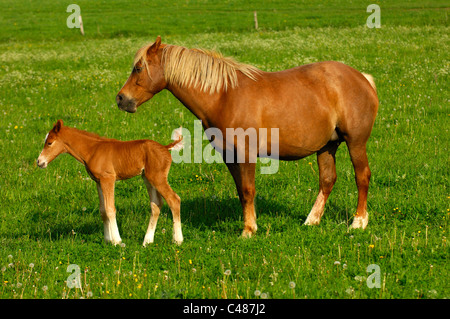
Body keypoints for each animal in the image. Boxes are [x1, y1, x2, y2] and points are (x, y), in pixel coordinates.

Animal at [37, 121, 184, 246]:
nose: (39, 162)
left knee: (174, 199)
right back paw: (147, 241)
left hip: (157, 178)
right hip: (147, 178)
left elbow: (110, 209)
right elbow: (103, 210)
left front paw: (117, 241)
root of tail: (165, 147)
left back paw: (177, 240)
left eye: (49, 142)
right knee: (156, 205)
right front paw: (107, 239)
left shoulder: (108, 179)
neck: (92, 150)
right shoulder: (98, 181)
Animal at [115, 37, 376, 238]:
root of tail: (362, 78)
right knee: (327, 180)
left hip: (355, 143)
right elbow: (241, 192)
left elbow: (249, 190)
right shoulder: (229, 156)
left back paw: (358, 222)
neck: (224, 96)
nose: (121, 99)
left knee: (362, 177)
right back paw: (312, 221)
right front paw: (249, 224)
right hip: (327, 146)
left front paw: (248, 230)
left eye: (138, 68)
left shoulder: (246, 154)